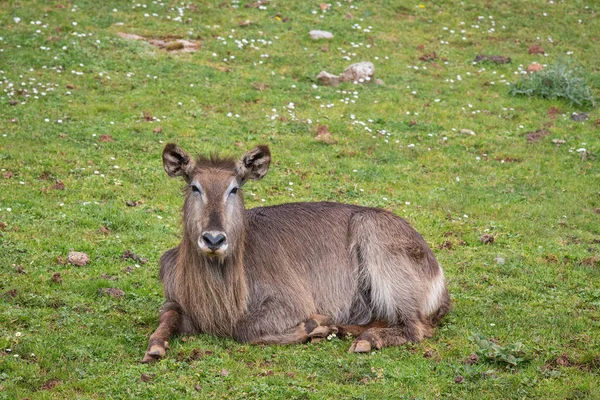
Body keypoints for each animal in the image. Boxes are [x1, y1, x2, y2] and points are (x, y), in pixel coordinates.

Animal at [142, 145, 450, 362]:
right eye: (195, 187)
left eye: (234, 188)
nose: (214, 239)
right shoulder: (175, 297)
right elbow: (167, 314)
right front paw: (155, 346)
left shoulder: (292, 300)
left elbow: (245, 329)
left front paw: (314, 324)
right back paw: (343, 330)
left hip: (373, 234)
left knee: (416, 327)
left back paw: (363, 339)